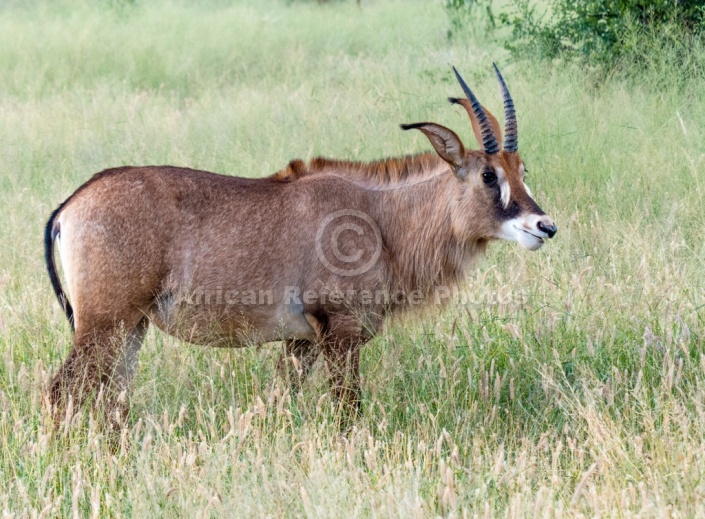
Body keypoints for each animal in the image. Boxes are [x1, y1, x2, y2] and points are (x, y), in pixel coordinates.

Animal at [45, 66, 556, 430]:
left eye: (522, 170)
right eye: (488, 174)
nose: (544, 226)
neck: (381, 216)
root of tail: (71, 204)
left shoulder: (302, 342)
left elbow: (275, 404)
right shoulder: (340, 333)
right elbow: (349, 413)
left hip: (130, 328)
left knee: (112, 399)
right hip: (103, 324)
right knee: (61, 392)